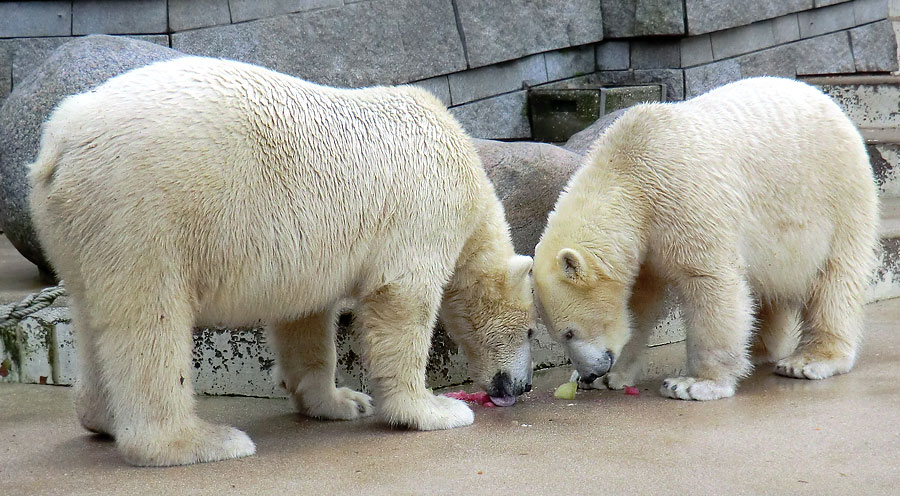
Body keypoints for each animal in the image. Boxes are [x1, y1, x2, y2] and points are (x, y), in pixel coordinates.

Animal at [28, 56, 536, 466]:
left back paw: (102, 419)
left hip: (71, 227)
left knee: (90, 314)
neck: (469, 170)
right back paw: (201, 442)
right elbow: (401, 299)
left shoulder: (309, 249)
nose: (523, 386)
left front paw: (343, 402)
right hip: (142, 210)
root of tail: (61, 142)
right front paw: (433, 410)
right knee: (150, 322)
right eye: (531, 330)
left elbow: (304, 317)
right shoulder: (425, 209)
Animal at [536, 78, 880, 404]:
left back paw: (809, 360)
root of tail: (832, 105)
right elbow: (639, 303)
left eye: (569, 332)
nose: (590, 373)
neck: (628, 169)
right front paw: (612, 376)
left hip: (836, 198)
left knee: (835, 279)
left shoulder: (681, 198)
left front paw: (693, 384)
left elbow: (709, 281)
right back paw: (758, 349)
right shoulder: (645, 243)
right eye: (559, 335)